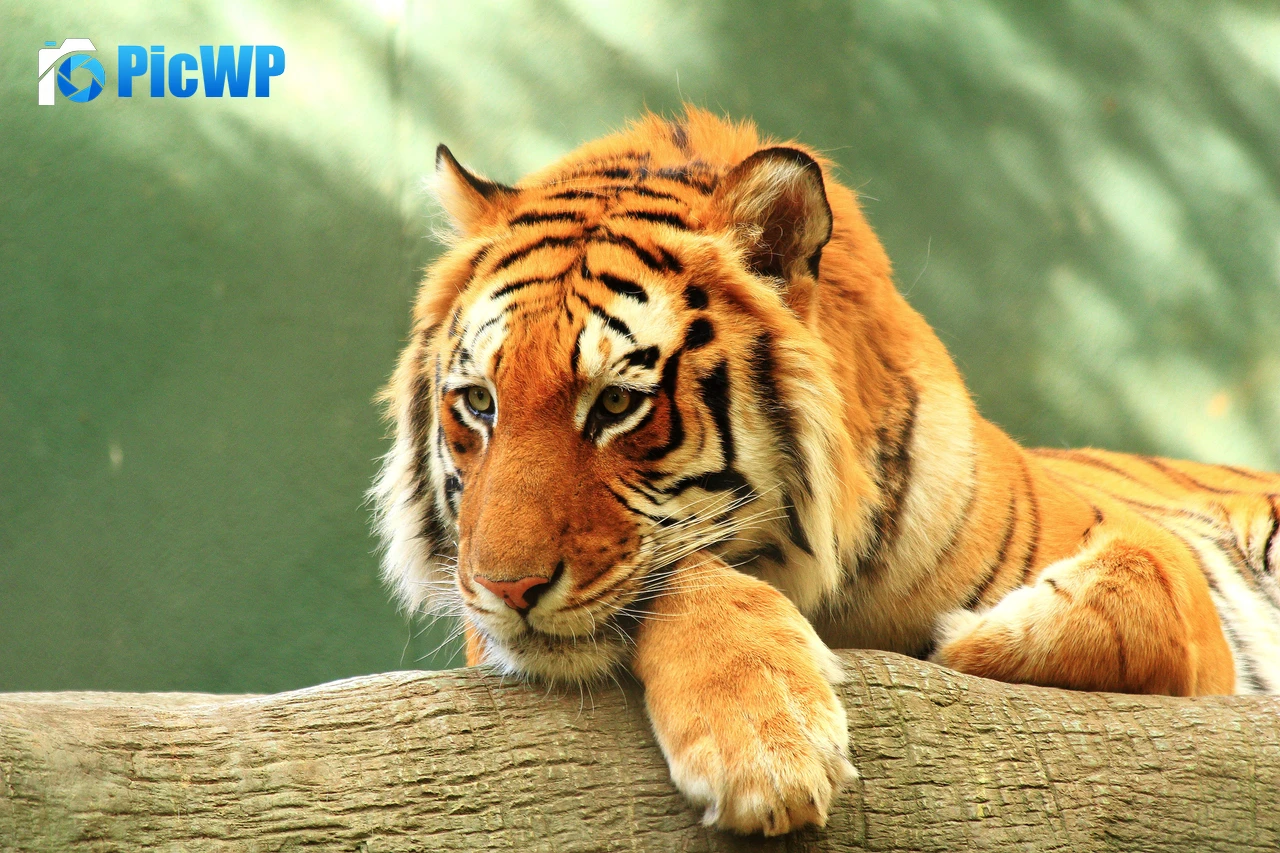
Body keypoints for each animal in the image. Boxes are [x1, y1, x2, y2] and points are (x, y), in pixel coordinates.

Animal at [372, 106, 1280, 836]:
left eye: (618, 404)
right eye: (479, 403)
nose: (503, 589)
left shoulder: (1153, 565)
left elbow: (1143, 588)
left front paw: (967, 638)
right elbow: (685, 572)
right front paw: (764, 746)